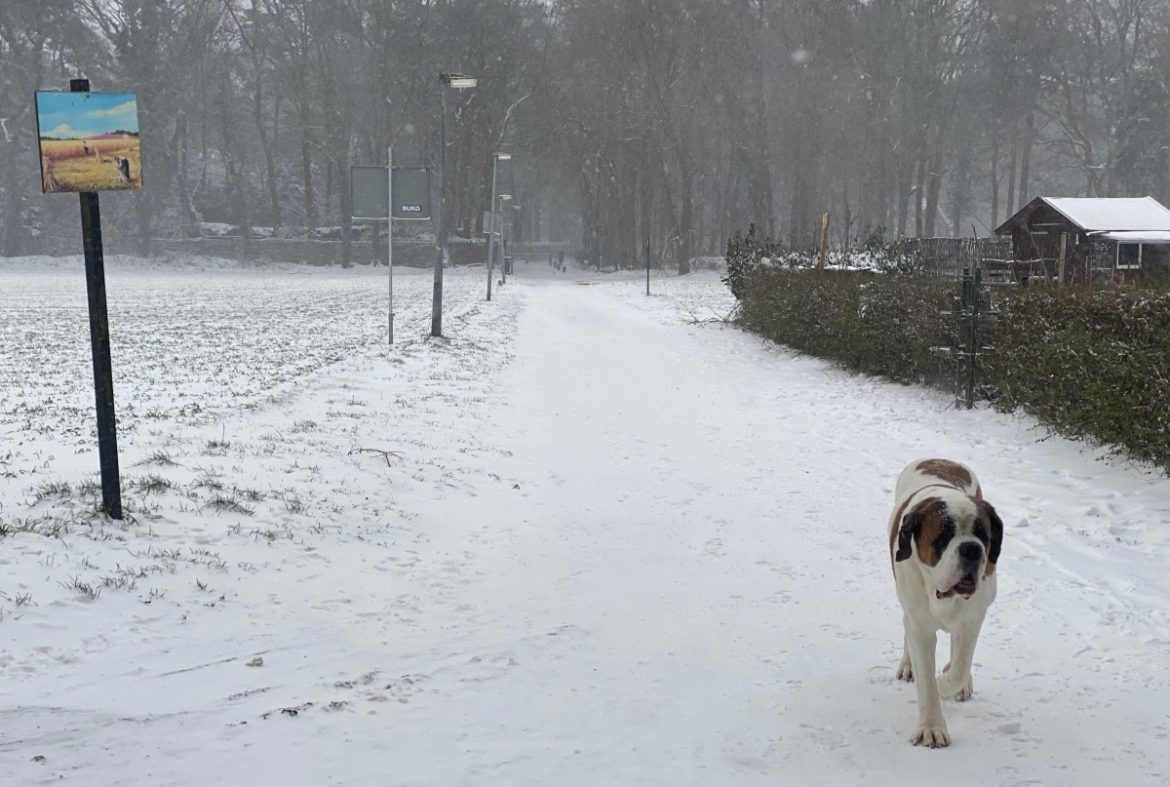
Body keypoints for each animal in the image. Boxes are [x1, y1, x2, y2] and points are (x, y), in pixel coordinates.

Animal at [884, 458, 1006, 743]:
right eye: (943, 536)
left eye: (983, 535)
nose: (972, 549)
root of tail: (938, 459)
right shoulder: (919, 624)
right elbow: (926, 678)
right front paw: (931, 727)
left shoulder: (973, 616)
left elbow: (961, 665)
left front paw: (947, 682)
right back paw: (908, 666)